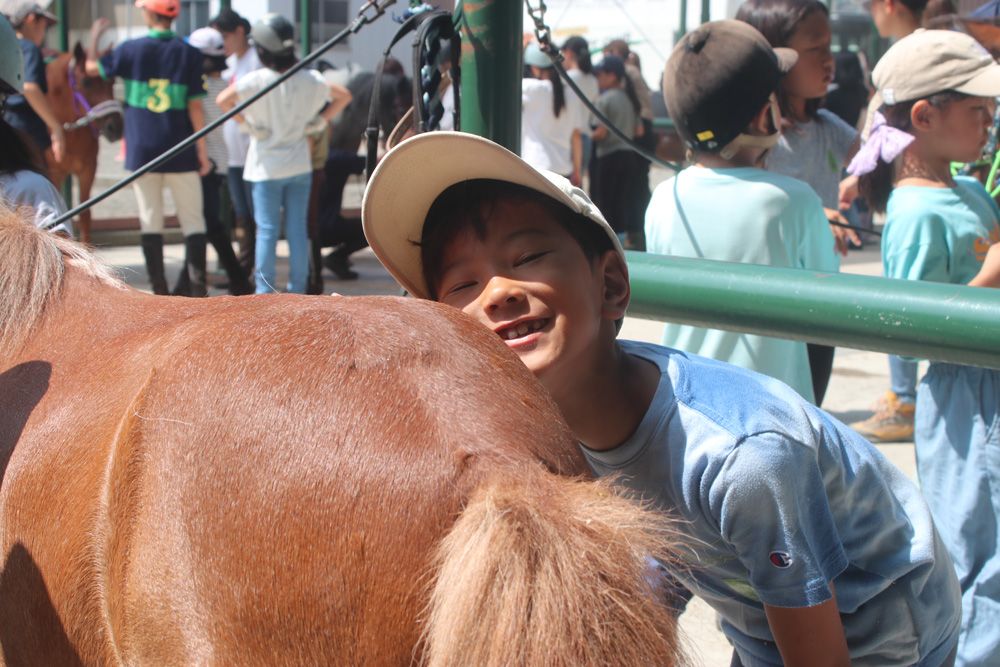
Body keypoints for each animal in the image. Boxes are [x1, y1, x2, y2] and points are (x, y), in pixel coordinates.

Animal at [43, 41, 124, 245]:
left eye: (112, 81)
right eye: (86, 82)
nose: (115, 126)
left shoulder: (88, 168)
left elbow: (85, 214)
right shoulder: (54, 174)